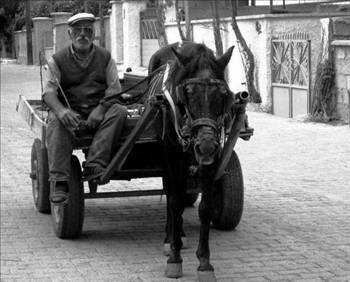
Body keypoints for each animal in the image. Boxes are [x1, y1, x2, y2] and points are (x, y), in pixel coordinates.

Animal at [148, 42, 241, 282]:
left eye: (224, 94)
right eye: (187, 93)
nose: (206, 146)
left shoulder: (211, 161)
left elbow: (205, 209)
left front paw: (205, 263)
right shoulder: (172, 158)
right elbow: (175, 202)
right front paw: (174, 257)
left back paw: (179, 235)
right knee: (171, 194)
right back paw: (170, 238)